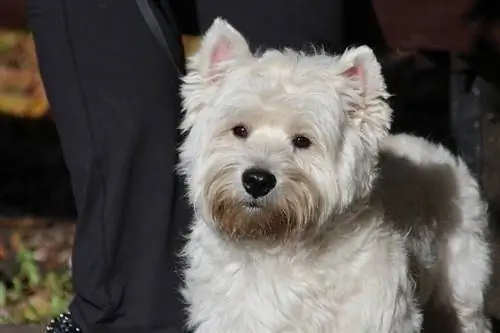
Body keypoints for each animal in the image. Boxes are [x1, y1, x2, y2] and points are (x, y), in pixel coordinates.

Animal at [177, 18, 492, 332]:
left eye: (303, 141)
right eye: (239, 130)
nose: (257, 180)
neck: (276, 245)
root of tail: (435, 148)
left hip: (461, 283)